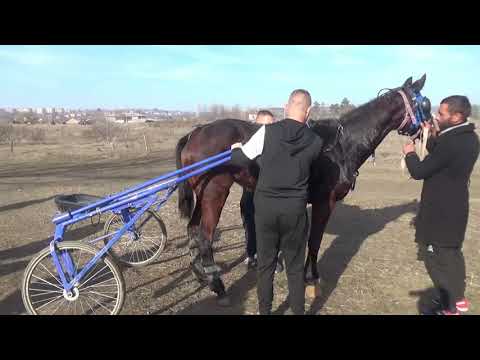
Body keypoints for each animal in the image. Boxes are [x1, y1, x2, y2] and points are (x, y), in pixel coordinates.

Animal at [175, 74, 428, 300]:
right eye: (425, 103)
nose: (429, 127)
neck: (340, 145)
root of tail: (196, 131)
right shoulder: (324, 202)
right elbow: (314, 240)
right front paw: (312, 278)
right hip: (215, 192)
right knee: (205, 237)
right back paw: (217, 285)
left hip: (202, 194)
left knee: (192, 229)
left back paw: (201, 275)